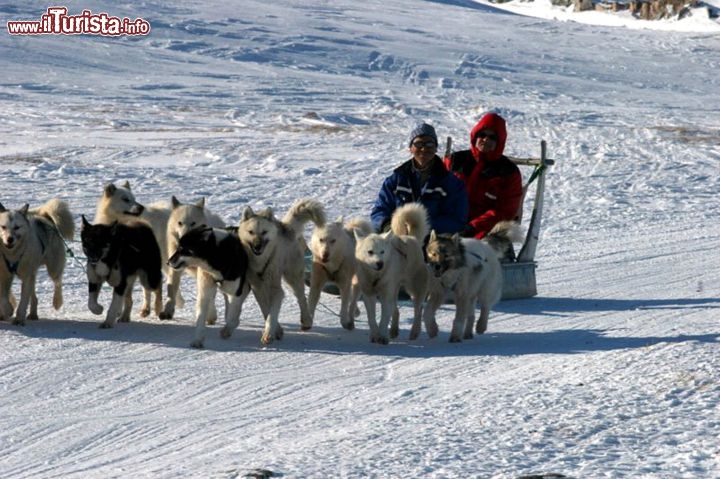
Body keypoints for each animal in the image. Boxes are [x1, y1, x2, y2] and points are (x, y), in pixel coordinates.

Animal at [236, 199, 326, 344]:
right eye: (251, 232)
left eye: (264, 232)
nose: (257, 246)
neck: (261, 263)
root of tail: (285, 226)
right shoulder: (258, 289)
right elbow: (266, 310)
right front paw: (277, 330)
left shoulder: (277, 290)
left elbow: (272, 314)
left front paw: (269, 333)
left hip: (292, 277)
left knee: (301, 298)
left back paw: (306, 320)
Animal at [352, 202, 430, 344]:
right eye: (370, 252)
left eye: (382, 251)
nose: (380, 263)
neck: (376, 277)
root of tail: (412, 238)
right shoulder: (369, 295)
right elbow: (371, 318)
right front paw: (375, 335)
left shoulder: (386, 295)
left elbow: (383, 319)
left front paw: (382, 336)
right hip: (394, 290)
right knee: (396, 311)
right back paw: (393, 330)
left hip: (414, 289)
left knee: (418, 310)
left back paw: (414, 332)